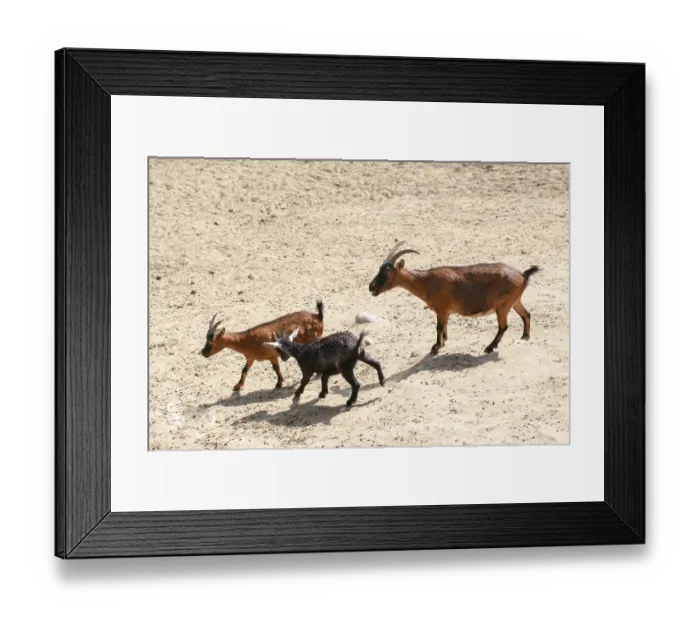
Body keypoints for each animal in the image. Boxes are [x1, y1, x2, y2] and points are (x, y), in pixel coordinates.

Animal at [368, 242, 540, 355]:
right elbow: (444, 326)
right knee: (526, 314)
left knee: (503, 326)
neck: (427, 281)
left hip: (502, 307)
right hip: (515, 301)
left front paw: (436, 347)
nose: (371, 287)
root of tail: (523, 275)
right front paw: (444, 341)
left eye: (387, 272)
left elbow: (438, 327)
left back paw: (489, 347)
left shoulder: (442, 309)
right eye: (379, 269)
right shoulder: (445, 311)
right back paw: (525, 336)